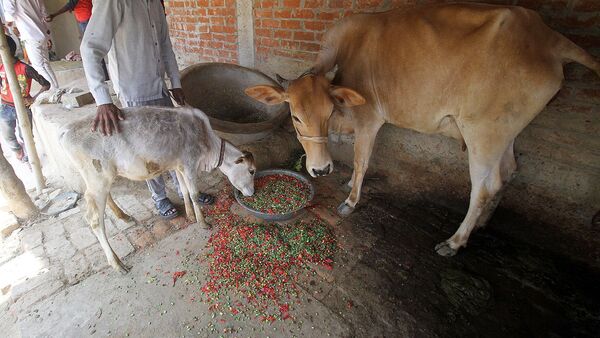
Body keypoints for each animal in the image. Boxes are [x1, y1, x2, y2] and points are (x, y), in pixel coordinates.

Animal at [245, 3, 600, 256]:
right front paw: (347, 182)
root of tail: (549, 37)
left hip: (483, 133)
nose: (320, 170)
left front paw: (350, 199)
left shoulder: (369, 119)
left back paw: (455, 241)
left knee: (485, 186)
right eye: (295, 116)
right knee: (509, 172)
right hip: (506, 134)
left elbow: (362, 160)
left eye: (330, 110)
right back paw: (482, 224)